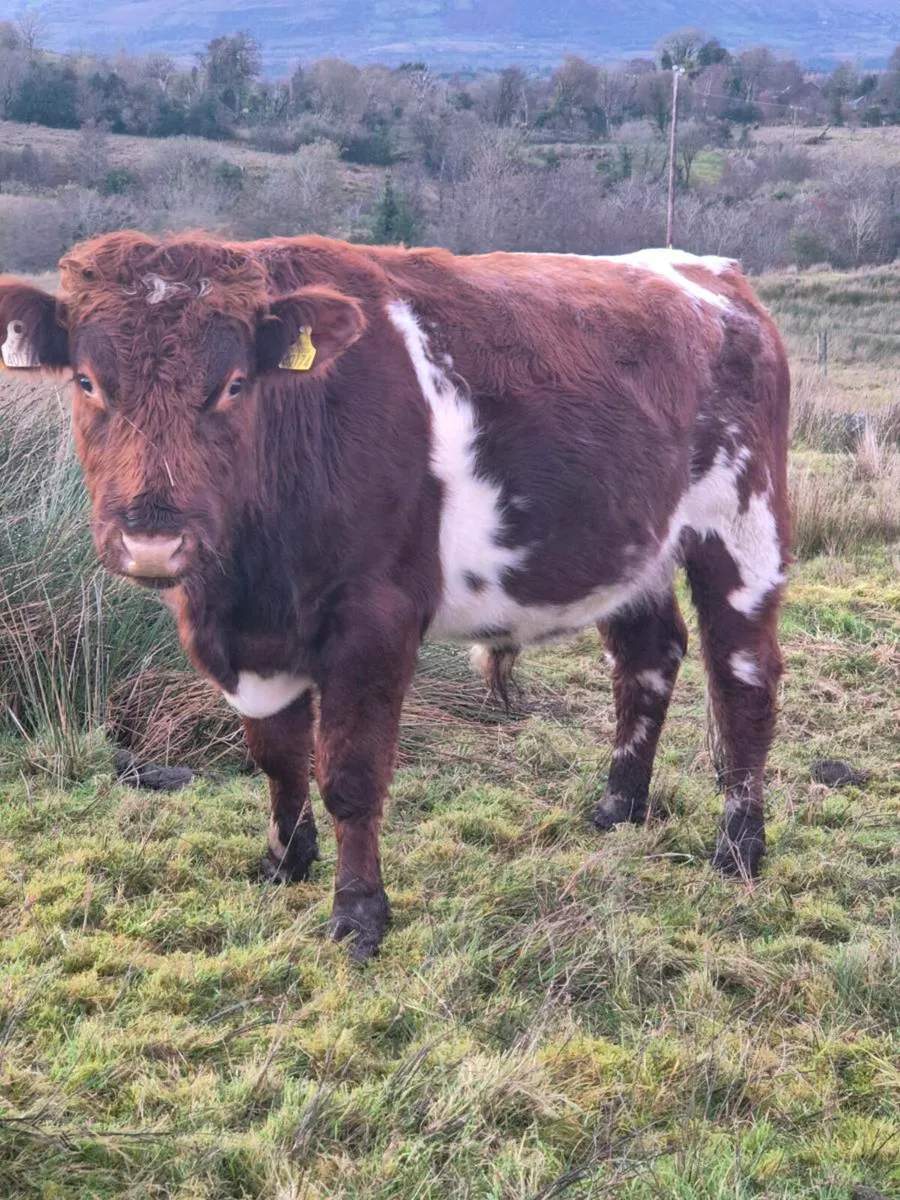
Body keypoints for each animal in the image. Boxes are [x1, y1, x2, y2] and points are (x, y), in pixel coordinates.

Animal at [0, 234, 790, 962]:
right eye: (87, 382)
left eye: (233, 383)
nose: (153, 541)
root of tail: (716, 277)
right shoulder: (252, 641)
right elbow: (277, 754)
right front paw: (284, 862)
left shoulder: (374, 620)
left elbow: (349, 774)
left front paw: (358, 914)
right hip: (633, 548)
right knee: (648, 658)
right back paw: (618, 806)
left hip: (743, 526)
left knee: (742, 676)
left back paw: (739, 846)